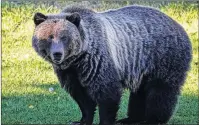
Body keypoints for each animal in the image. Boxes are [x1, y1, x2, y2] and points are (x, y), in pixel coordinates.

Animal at [31, 5, 192, 125]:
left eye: (64, 37)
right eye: (49, 37)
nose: (57, 54)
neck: (78, 59)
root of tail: (179, 25)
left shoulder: (97, 62)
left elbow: (107, 93)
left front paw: (105, 120)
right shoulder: (71, 73)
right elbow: (82, 97)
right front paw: (81, 120)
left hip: (163, 57)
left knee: (160, 91)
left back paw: (152, 120)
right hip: (142, 67)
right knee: (140, 92)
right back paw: (130, 119)